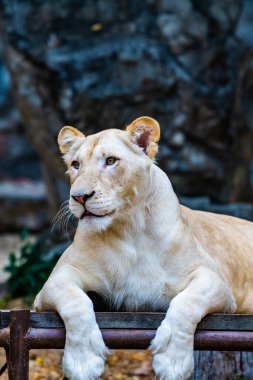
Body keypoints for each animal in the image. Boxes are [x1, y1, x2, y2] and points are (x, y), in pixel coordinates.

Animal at [33, 116, 253, 380]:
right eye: (76, 164)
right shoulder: (55, 280)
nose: (79, 197)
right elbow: (75, 303)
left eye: (110, 161)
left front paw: (172, 361)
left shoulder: (214, 280)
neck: (130, 230)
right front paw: (83, 361)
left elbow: (187, 303)